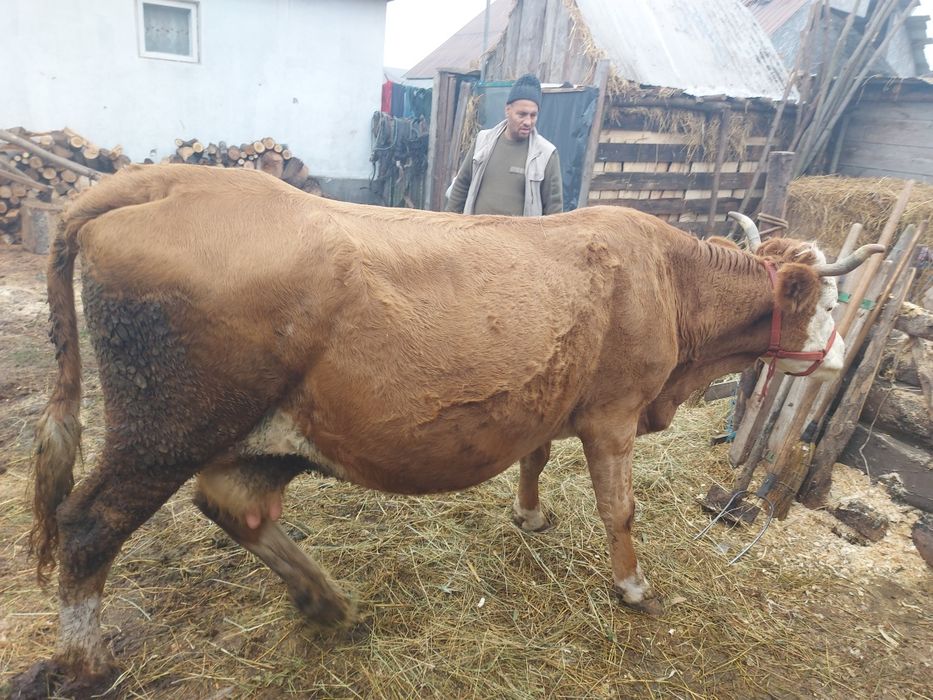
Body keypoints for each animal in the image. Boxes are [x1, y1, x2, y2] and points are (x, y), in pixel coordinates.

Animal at [14, 164, 880, 697]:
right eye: (824, 302)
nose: (840, 355)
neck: (667, 280)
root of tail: (162, 177)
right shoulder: (613, 413)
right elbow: (620, 509)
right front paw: (632, 586)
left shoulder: (554, 396)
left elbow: (534, 456)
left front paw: (529, 513)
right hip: (163, 428)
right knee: (89, 526)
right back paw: (86, 661)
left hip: (258, 433)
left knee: (234, 505)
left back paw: (326, 599)